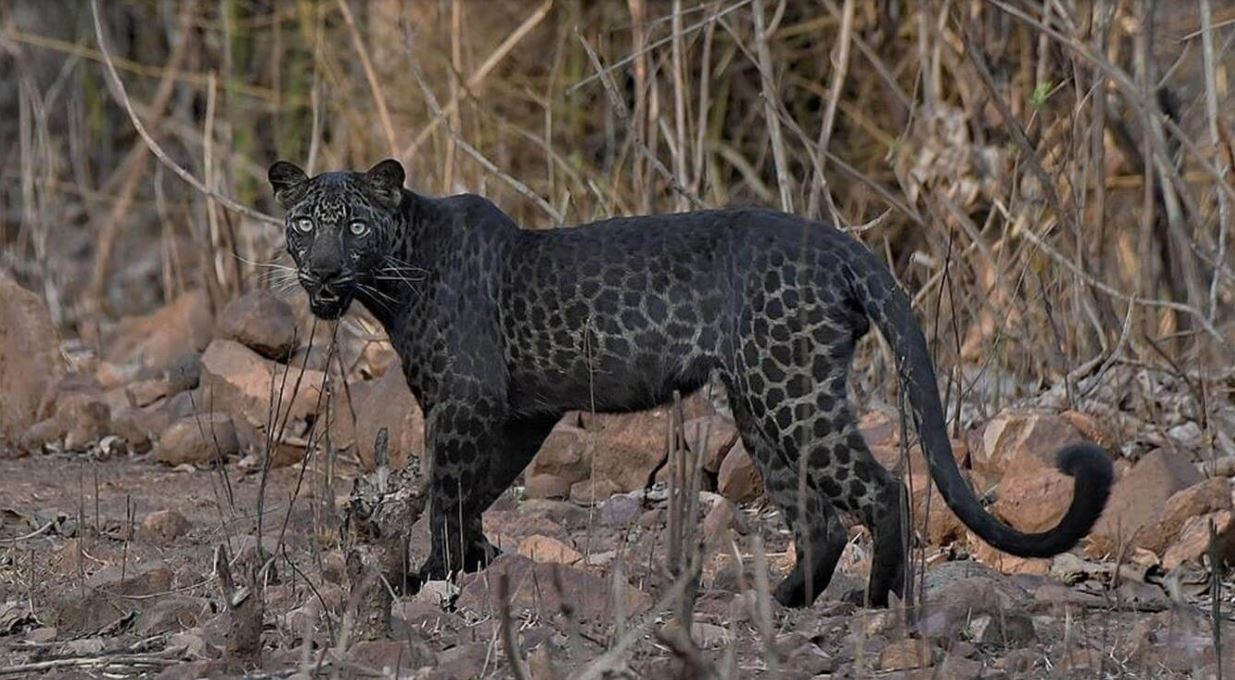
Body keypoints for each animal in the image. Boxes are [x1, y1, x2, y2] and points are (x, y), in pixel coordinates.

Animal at [267, 158, 1113, 608]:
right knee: (819, 518)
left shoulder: (465, 403)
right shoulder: (519, 412)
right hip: (760, 404)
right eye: (304, 223)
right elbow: (475, 491)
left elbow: (446, 490)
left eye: (355, 224)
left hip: (790, 392)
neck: (394, 278)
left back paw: (877, 602)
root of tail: (842, 244)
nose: (323, 270)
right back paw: (782, 602)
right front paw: (473, 564)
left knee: (880, 490)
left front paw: (434, 577)